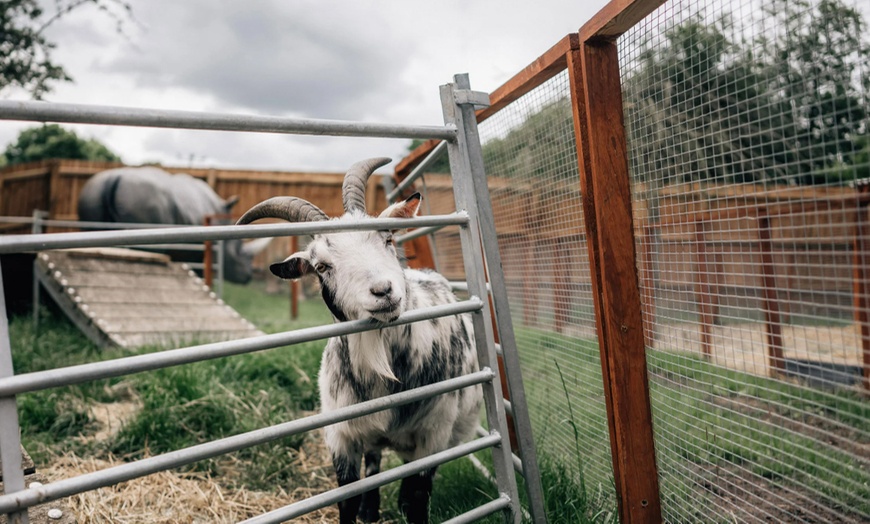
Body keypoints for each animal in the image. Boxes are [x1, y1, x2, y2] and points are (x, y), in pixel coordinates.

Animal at [238, 157, 484, 524]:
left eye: (387, 239)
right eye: (321, 266)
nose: (383, 291)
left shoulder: (434, 434)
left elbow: (418, 495)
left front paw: (405, 506)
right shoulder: (341, 436)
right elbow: (347, 498)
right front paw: (363, 508)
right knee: (374, 461)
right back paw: (371, 509)